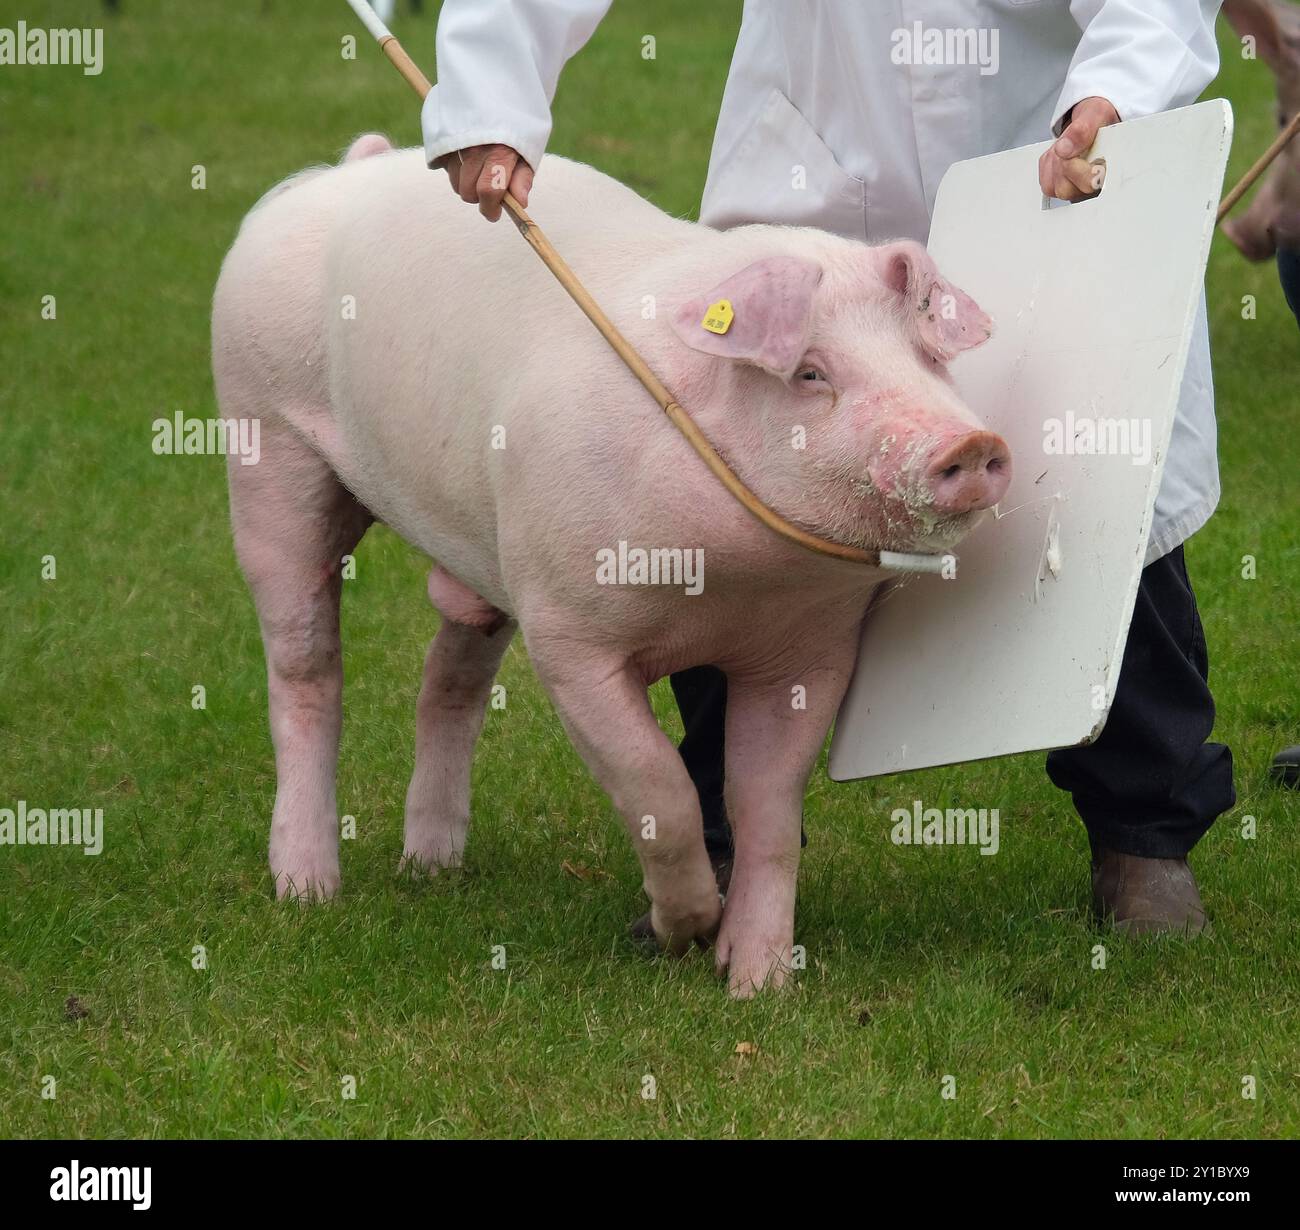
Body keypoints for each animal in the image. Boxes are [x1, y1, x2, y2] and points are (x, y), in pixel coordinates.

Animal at [211, 135, 1009, 997]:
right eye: (810, 374)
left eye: (926, 358)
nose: (973, 443)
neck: (729, 591)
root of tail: (346, 167)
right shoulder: (569, 632)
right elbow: (659, 786)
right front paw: (681, 931)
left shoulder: (812, 651)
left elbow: (767, 807)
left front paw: (759, 986)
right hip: (263, 440)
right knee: (305, 669)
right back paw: (307, 890)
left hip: (488, 545)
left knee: (448, 678)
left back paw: (432, 868)